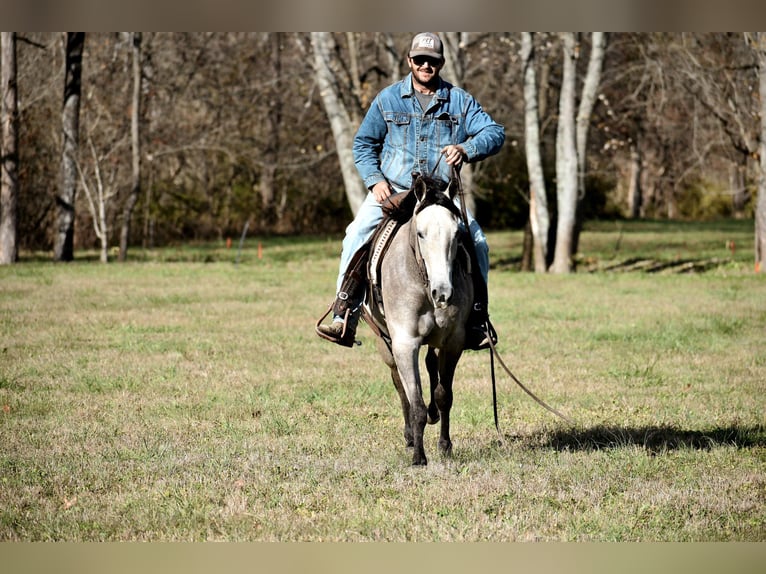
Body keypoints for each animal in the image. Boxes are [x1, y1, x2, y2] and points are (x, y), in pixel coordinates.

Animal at [366, 177, 474, 468]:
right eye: (421, 234)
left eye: (456, 234)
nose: (443, 293)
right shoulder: (405, 343)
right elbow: (415, 403)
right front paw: (419, 457)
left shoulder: (453, 343)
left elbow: (444, 395)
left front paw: (445, 446)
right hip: (384, 343)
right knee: (399, 384)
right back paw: (410, 438)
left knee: (430, 367)